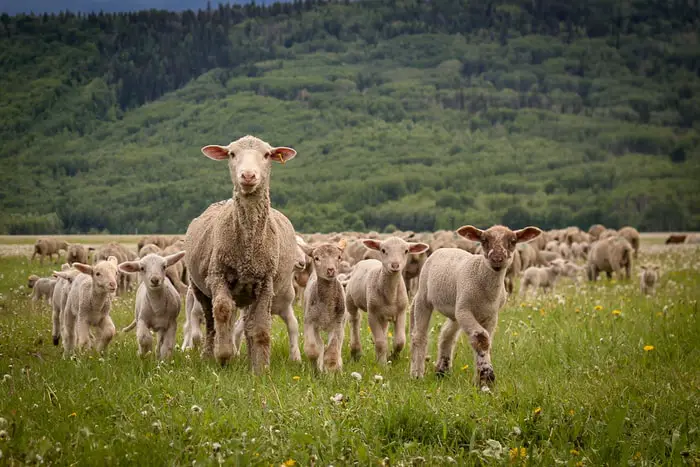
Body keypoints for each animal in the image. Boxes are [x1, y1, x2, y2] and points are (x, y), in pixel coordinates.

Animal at [183, 135, 298, 372]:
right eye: (232, 154)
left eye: (267, 155)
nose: (248, 175)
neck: (247, 249)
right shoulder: (217, 275)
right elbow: (222, 310)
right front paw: (224, 355)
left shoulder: (265, 283)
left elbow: (261, 327)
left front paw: (260, 368)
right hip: (199, 288)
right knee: (211, 322)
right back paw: (209, 355)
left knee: (248, 324)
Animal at [298, 241, 348, 372]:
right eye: (317, 258)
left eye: (339, 257)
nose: (331, 270)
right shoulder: (309, 321)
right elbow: (312, 349)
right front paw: (316, 369)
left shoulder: (337, 323)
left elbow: (332, 352)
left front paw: (331, 371)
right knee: (319, 343)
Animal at [344, 238, 430, 366]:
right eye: (383, 250)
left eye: (406, 251)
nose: (395, 265)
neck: (390, 295)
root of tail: (367, 260)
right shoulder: (372, 314)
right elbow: (380, 342)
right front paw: (382, 365)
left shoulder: (401, 312)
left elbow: (400, 341)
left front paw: (393, 357)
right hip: (350, 299)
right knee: (354, 319)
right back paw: (356, 352)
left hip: (383, 314)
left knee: (383, 329)